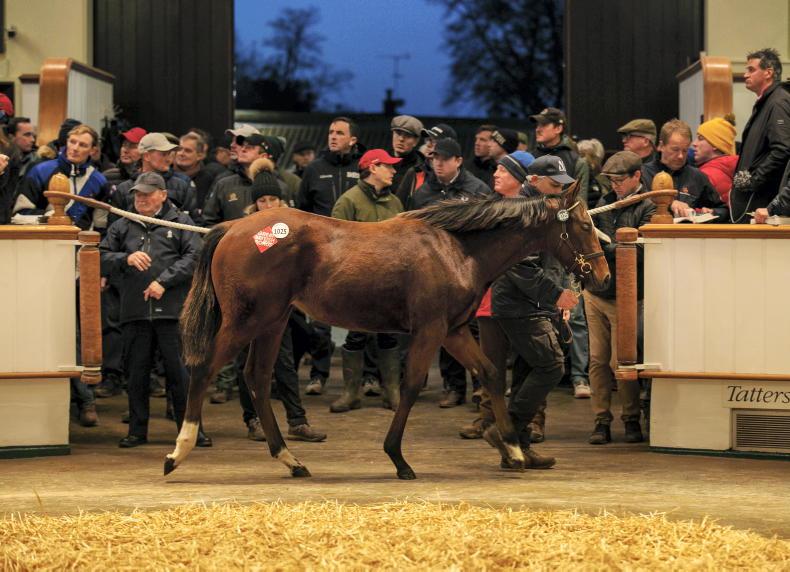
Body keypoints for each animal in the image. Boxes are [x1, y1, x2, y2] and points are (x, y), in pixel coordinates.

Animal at [164, 182, 610, 479]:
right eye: (583, 225)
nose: (603, 276)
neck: (457, 249)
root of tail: (232, 228)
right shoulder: (430, 330)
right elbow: (410, 386)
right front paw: (398, 458)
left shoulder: (454, 331)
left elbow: (490, 374)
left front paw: (514, 449)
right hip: (246, 321)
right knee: (204, 368)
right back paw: (178, 452)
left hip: (272, 322)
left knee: (256, 377)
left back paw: (291, 460)